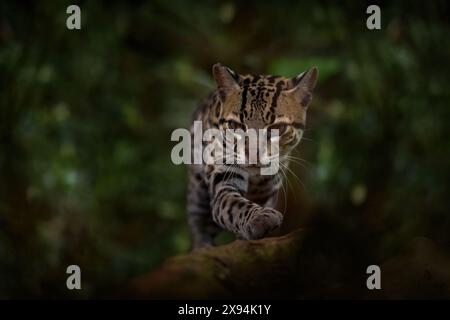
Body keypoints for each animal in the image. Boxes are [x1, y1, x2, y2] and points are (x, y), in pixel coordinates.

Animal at [186, 63, 316, 250]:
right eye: (235, 126)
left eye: (278, 128)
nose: (253, 155)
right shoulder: (224, 177)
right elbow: (233, 205)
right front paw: (260, 218)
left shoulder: (267, 190)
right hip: (197, 189)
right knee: (199, 220)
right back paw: (202, 246)